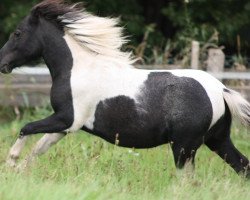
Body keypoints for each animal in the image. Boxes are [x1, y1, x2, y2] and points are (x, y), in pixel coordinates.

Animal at [0, 0, 250, 177]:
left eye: (17, 33)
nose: (2, 62)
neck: (77, 69)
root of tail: (221, 90)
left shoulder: (66, 118)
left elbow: (26, 128)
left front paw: (11, 161)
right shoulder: (66, 126)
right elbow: (39, 148)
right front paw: (19, 170)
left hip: (184, 147)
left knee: (189, 179)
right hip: (216, 140)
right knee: (243, 166)